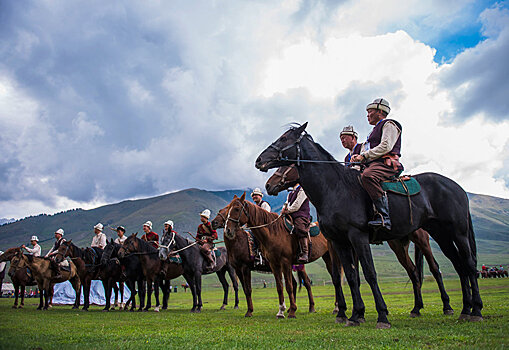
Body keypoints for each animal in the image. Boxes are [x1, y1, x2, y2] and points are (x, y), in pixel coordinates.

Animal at [210, 208, 346, 320]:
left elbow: (248, 289)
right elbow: (245, 289)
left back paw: (317, 308)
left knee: (309, 282)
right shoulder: (238, 269)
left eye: (227, 210)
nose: (214, 223)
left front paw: (250, 311)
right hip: (323, 258)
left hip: (320, 260)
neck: (238, 242)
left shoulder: (245, 267)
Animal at [264, 164, 450, 318]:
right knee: (413, 271)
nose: (268, 185)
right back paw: (416, 308)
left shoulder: (353, 242)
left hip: (422, 240)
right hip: (398, 245)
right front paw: (354, 311)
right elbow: (344, 276)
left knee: (434, 268)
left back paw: (446, 306)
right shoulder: (337, 245)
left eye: (285, 165)